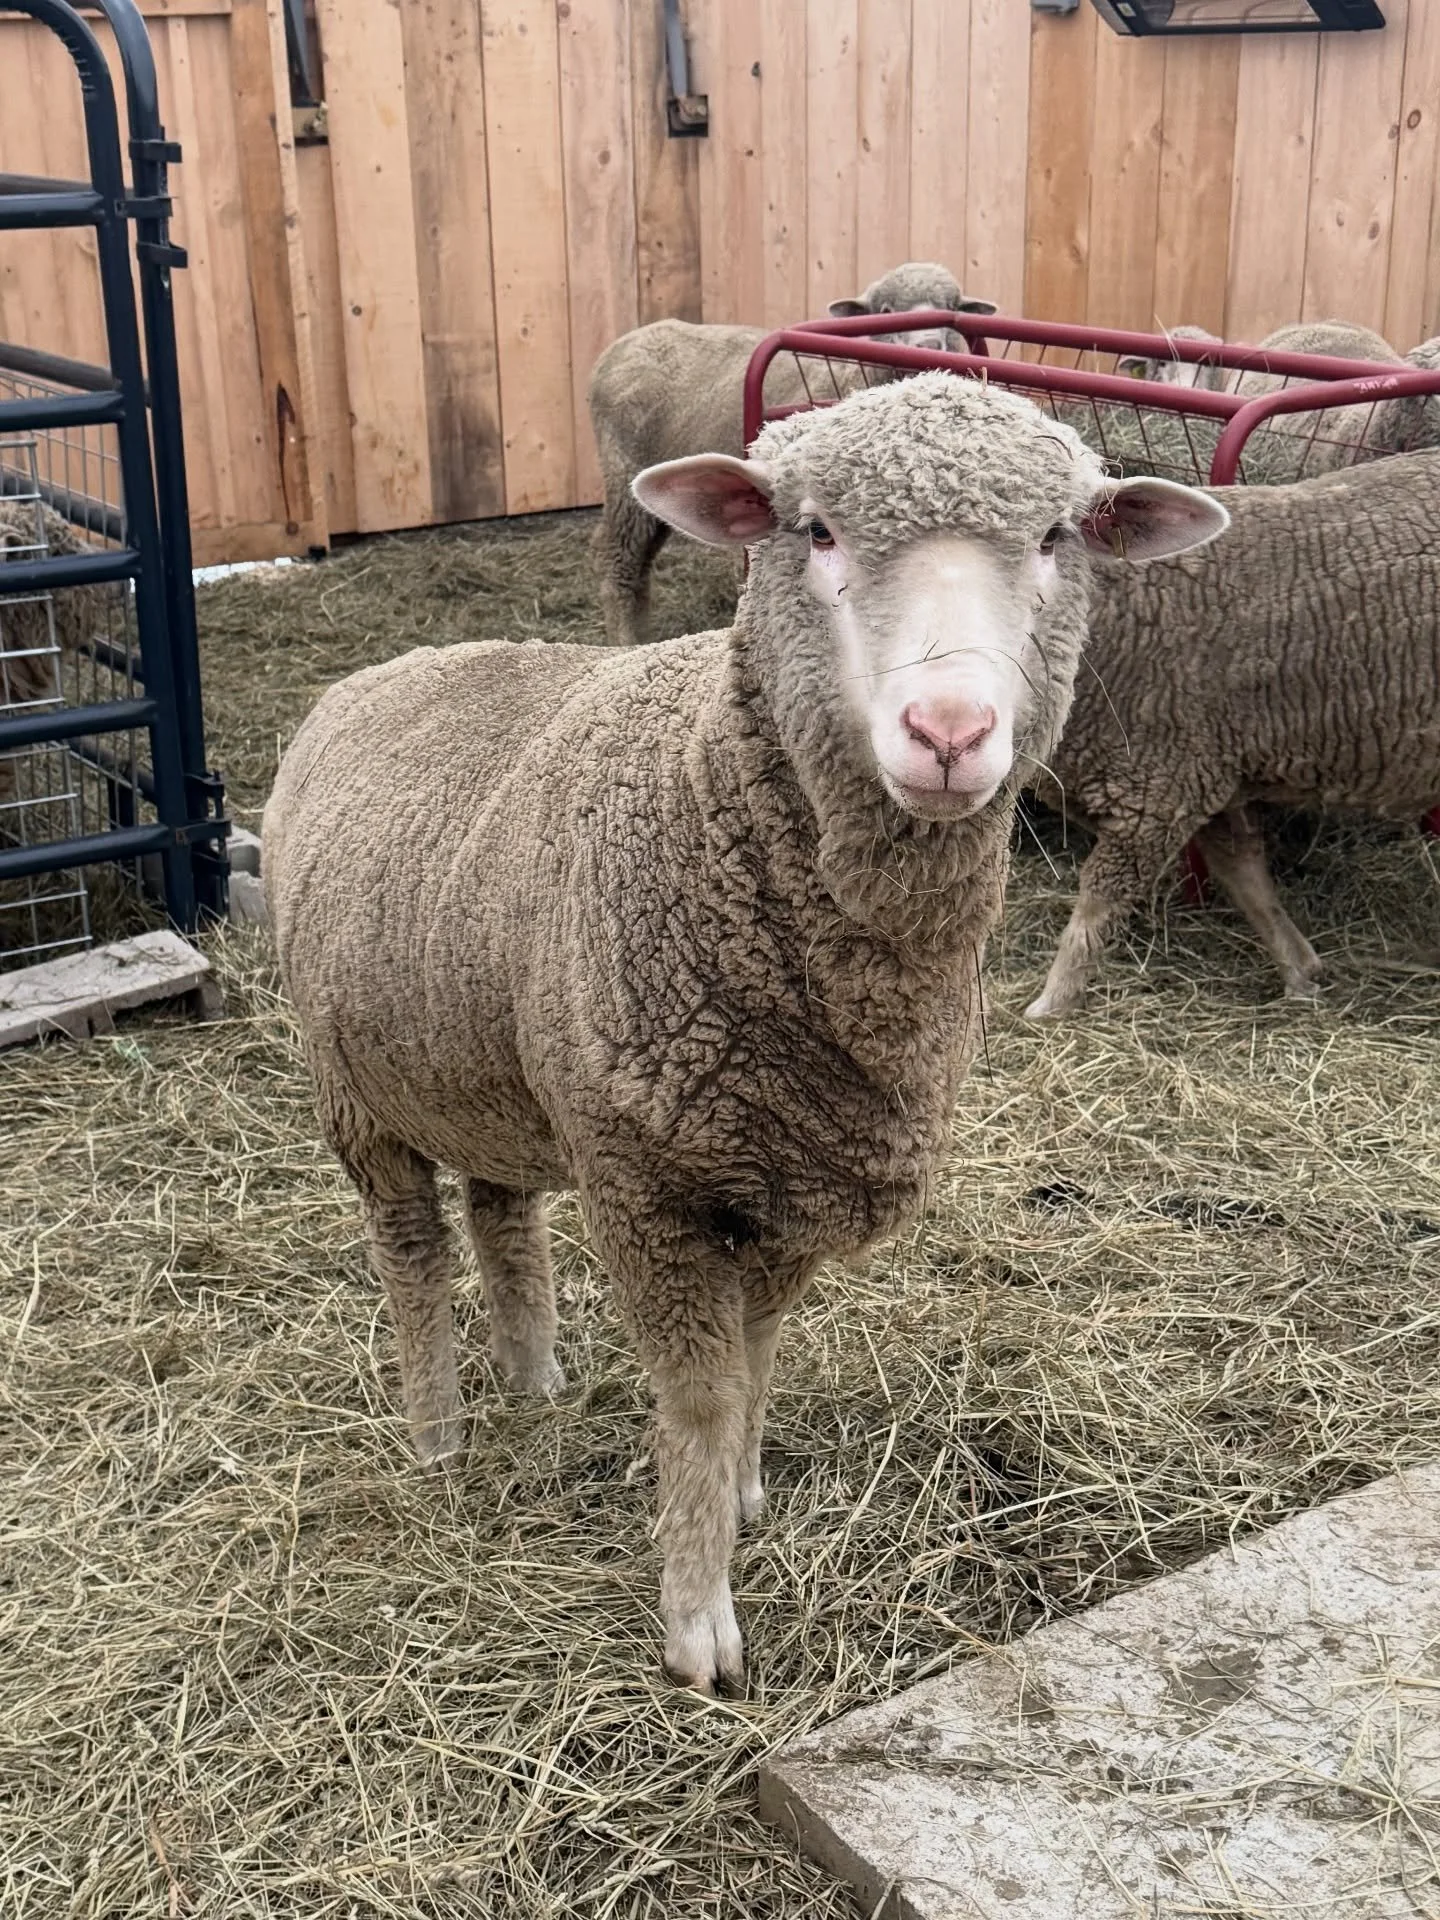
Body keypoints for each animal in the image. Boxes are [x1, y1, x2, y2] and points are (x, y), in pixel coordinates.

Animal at [262, 372, 1225, 1692]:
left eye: (1054, 538)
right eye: (811, 531)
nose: (949, 731)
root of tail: (388, 668)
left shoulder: (787, 1177)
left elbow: (759, 1354)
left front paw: (746, 1492)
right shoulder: (648, 1187)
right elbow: (705, 1392)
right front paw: (696, 1611)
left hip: (494, 1071)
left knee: (502, 1216)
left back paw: (535, 1382)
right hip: (355, 1092)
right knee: (411, 1253)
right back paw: (441, 1435)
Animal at [587, 263, 998, 648]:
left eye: (951, 307)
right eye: (885, 310)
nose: (929, 343)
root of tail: (618, 347)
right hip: (623, 469)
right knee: (617, 559)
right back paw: (625, 639)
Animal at [1023, 448, 1440, 1018]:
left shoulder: (1156, 789)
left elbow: (1096, 908)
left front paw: (1051, 1004)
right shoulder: (1208, 769)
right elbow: (1247, 880)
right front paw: (1301, 973)